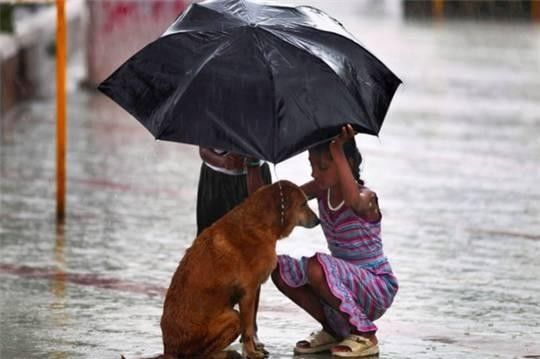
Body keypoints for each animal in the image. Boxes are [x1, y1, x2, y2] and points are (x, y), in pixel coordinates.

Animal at [158, 181, 320, 358]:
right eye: (303, 204)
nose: (318, 220)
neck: (261, 223)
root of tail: (169, 349)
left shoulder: (253, 291)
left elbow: (250, 327)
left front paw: (254, 349)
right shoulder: (248, 293)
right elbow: (248, 329)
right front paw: (251, 352)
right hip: (232, 317)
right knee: (201, 354)